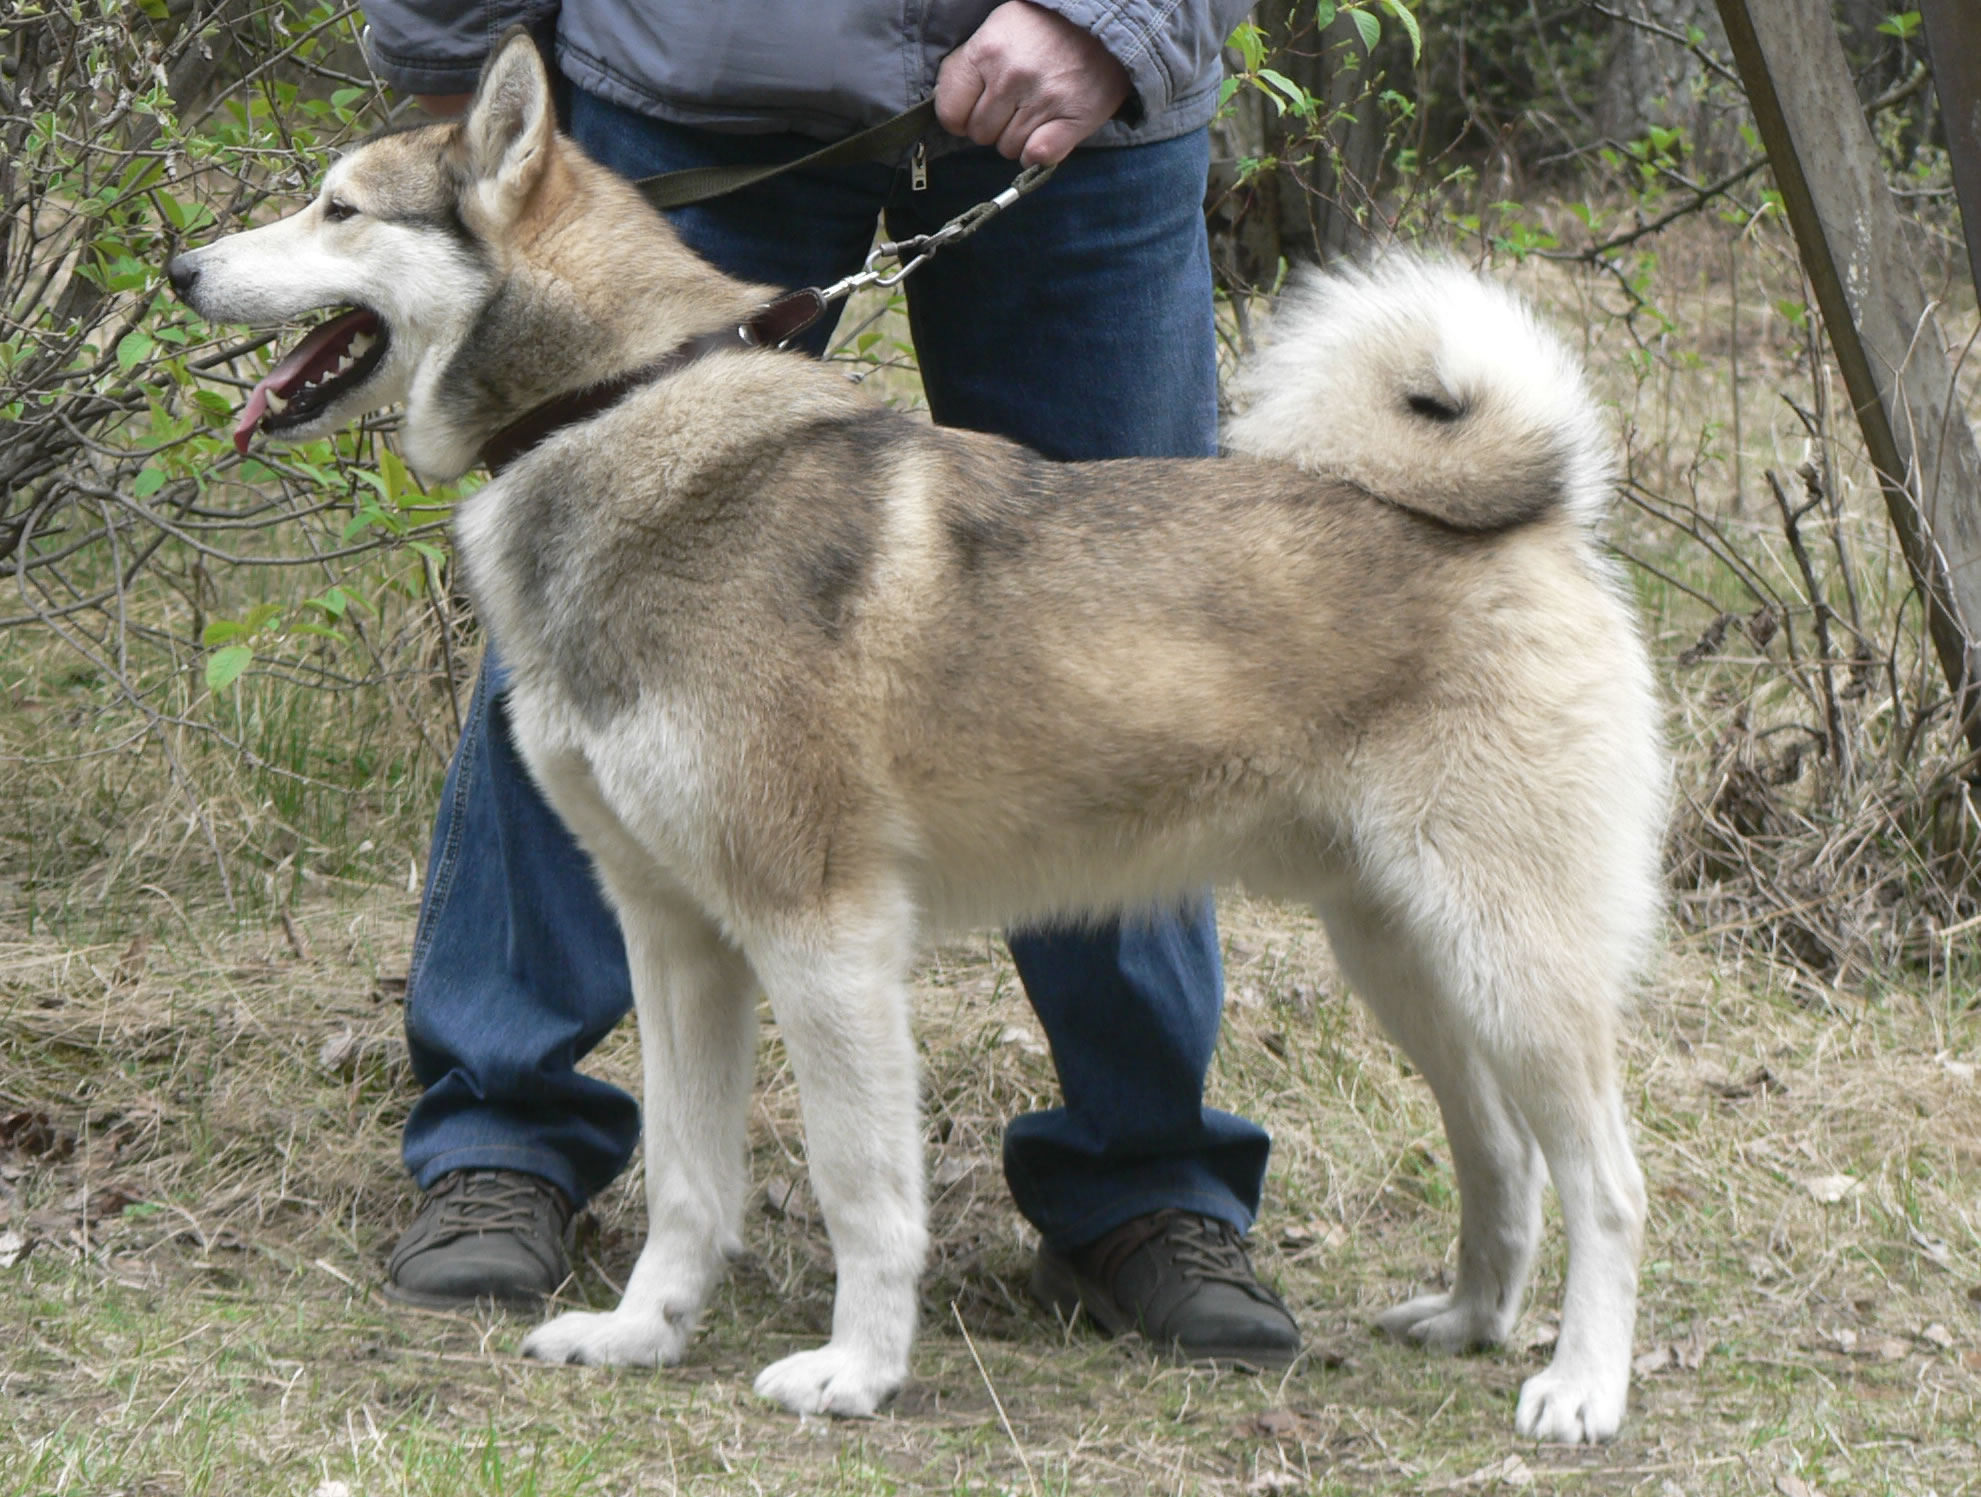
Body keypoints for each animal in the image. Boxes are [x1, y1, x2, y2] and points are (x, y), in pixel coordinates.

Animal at [170, 29, 1664, 1441]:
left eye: (339, 208)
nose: (184, 268)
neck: (618, 407)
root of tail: (1538, 513)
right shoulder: (676, 937)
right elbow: (688, 1176)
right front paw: (645, 1333)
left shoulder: (822, 938)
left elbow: (863, 1189)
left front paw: (857, 1373)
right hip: (1405, 955)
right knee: (1502, 1151)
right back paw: (1469, 1319)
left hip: (1507, 961)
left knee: (1604, 1177)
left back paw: (1582, 1389)